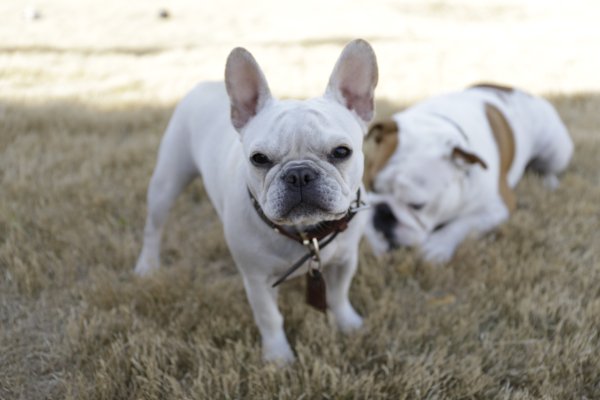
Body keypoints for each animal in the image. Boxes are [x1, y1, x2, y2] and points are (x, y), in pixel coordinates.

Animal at [135, 39, 378, 360]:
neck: (305, 234)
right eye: (259, 158)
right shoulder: (256, 279)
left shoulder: (345, 260)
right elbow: (269, 317)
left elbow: (339, 295)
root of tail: (205, 84)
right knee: (154, 226)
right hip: (167, 180)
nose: (299, 174)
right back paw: (147, 266)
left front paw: (348, 324)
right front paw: (278, 357)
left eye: (341, 152)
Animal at [364, 84, 576, 262]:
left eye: (417, 205)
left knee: (550, 168)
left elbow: (462, 224)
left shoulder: (498, 207)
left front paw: (437, 245)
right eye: (371, 186)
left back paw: (548, 182)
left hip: (556, 152)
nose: (382, 212)